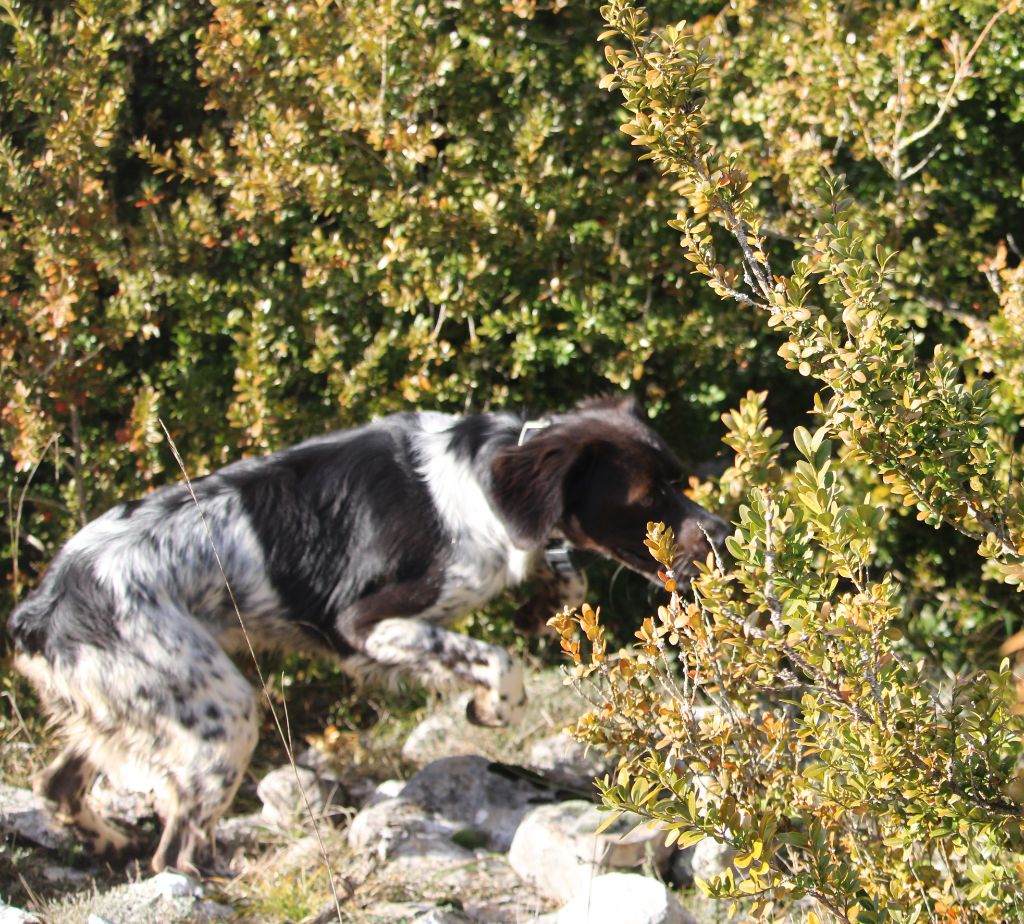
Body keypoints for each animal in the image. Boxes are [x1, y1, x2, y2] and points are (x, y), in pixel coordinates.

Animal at [8, 395, 729, 876]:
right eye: (647, 498)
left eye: (680, 480)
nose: (723, 535)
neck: (481, 478)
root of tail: (42, 610)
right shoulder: (364, 625)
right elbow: (498, 663)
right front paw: (491, 706)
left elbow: (563, 582)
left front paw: (541, 604)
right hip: (221, 713)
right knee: (175, 850)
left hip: (125, 704)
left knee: (58, 785)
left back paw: (107, 843)